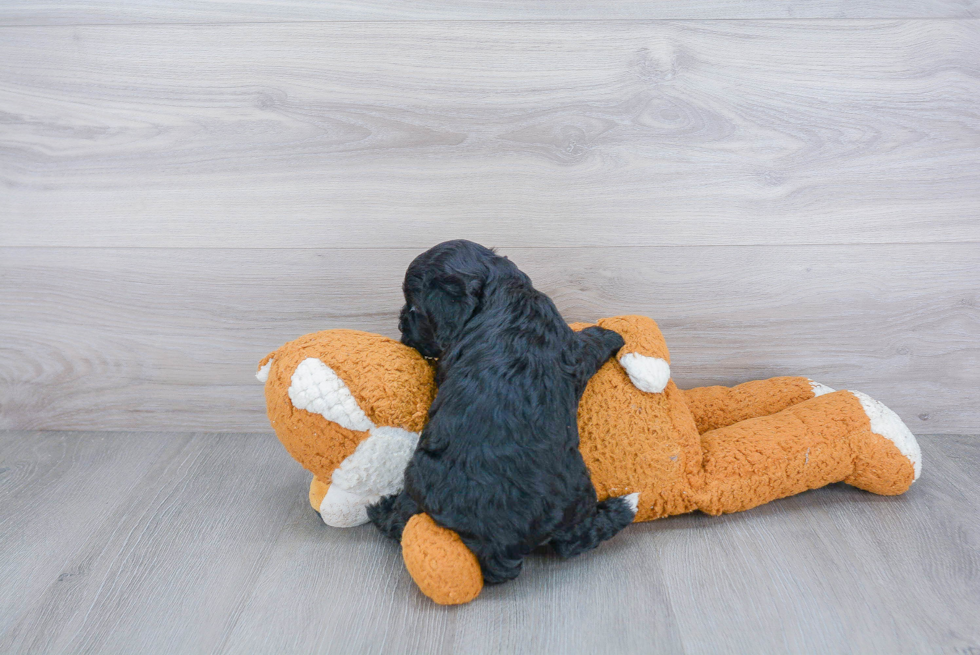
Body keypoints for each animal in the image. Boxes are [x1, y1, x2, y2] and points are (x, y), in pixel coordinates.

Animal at [368, 240, 636, 584]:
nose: (401, 326)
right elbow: (589, 343)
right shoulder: (573, 350)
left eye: (414, 309)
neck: (504, 293)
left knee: (401, 521)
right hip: (576, 493)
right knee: (575, 541)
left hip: (417, 480)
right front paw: (612, 334)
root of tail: (499, 545)